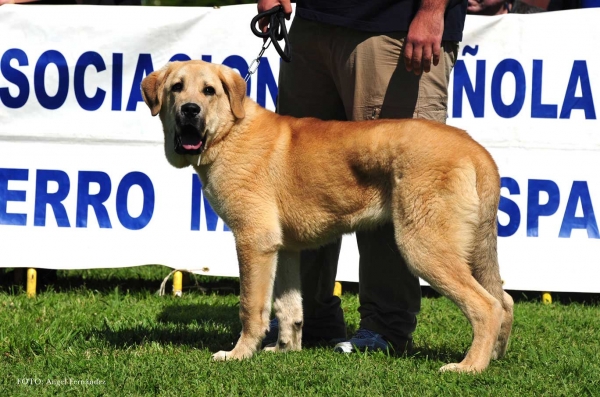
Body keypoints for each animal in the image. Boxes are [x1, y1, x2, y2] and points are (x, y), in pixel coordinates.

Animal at [141, 58, 510, 372]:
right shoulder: (283, 248)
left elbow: (251, 307)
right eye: (176, 88)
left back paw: (469, 367)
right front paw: (285, 349)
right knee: (504, 301)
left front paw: (239, 354)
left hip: (424, 247)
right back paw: (494, 356)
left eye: (209, 91)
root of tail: (477, 150)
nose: (190, 110)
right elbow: (288, 307)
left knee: (486, 305)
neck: (230, 131)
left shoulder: (253, 241)